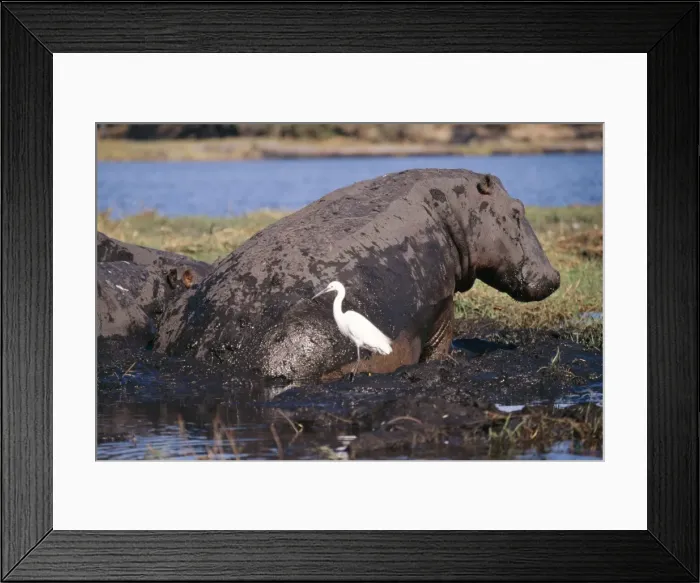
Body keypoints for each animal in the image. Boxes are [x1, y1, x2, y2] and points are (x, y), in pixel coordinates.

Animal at [154, 169, 560, 381]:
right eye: (518, 210)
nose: (555, 275)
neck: (454, 208)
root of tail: (205, 350)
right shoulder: (442, 300)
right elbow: (441, 339)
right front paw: (451, 360)